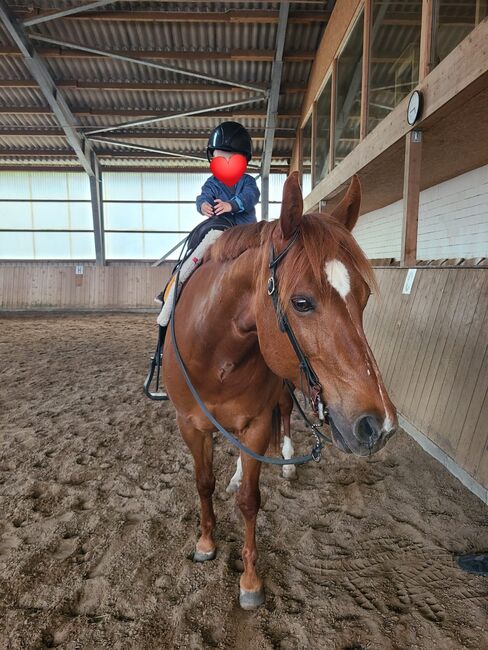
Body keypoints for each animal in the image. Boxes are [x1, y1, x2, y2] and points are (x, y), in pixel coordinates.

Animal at [162, 172, 398, 608]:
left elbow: (250, 501)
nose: (381, 425)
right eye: (301, 302)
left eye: (364, 297)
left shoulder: (255, 423)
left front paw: (250, 580)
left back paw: (287, 463)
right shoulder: (189, 424)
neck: (214, 350)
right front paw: (205, 543)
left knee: (285, 414)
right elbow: (203, 483)